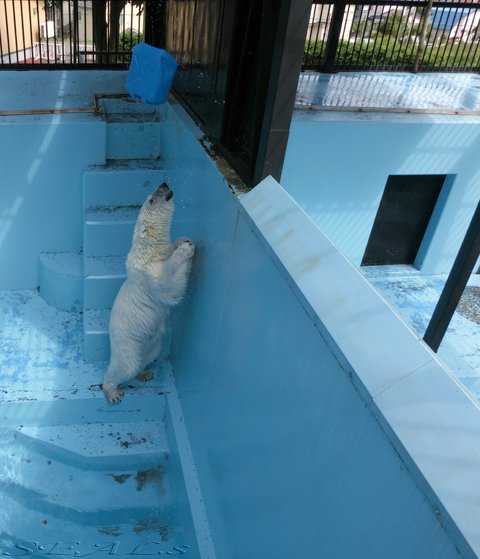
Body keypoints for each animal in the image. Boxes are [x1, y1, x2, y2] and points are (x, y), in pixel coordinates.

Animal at [102, 183, 194, 402]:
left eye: (157, 191)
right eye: (152, 199)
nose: (164, 184)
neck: (149, 251)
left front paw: (183, 240)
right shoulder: (148, 275)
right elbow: (170, 287)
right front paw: (186, 249)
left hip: (152, 346)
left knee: (148, 357)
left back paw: (145, 373)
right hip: (128, 348)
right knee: (123, 368)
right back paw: (113, 392)